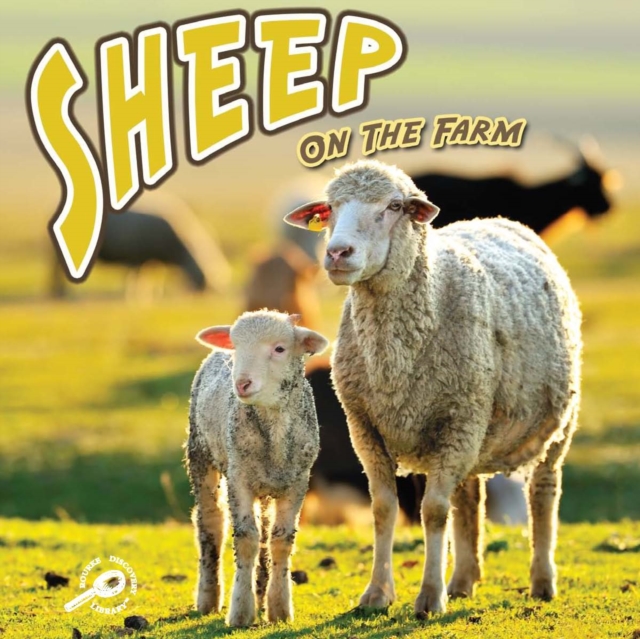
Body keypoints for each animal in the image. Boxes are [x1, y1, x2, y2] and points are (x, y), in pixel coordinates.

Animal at [186, 310, 328, 627]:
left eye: (279, 349)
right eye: (237, 347)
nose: (241, 384)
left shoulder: (298, 482)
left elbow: (281, 540)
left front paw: (279, 608)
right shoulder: (239, 478)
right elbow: (247, 539)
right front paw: (241, 610)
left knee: (264, 530)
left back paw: (261, 593)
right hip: (200, 452)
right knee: (211, 522)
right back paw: (208, 597)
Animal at [285, 159, 582, 616]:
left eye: (393, 206)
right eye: (330, 208)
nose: (337, 253)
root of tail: (501, 220)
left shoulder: (458, 418)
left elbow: (435, 512)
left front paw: (428, 597)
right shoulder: (365, 427)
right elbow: (384, 509)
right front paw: (377, 593)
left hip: (550, 424)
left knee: (544, 492)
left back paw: (541, 581)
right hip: (474, 430)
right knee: (470, 498)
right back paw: (463, 581)